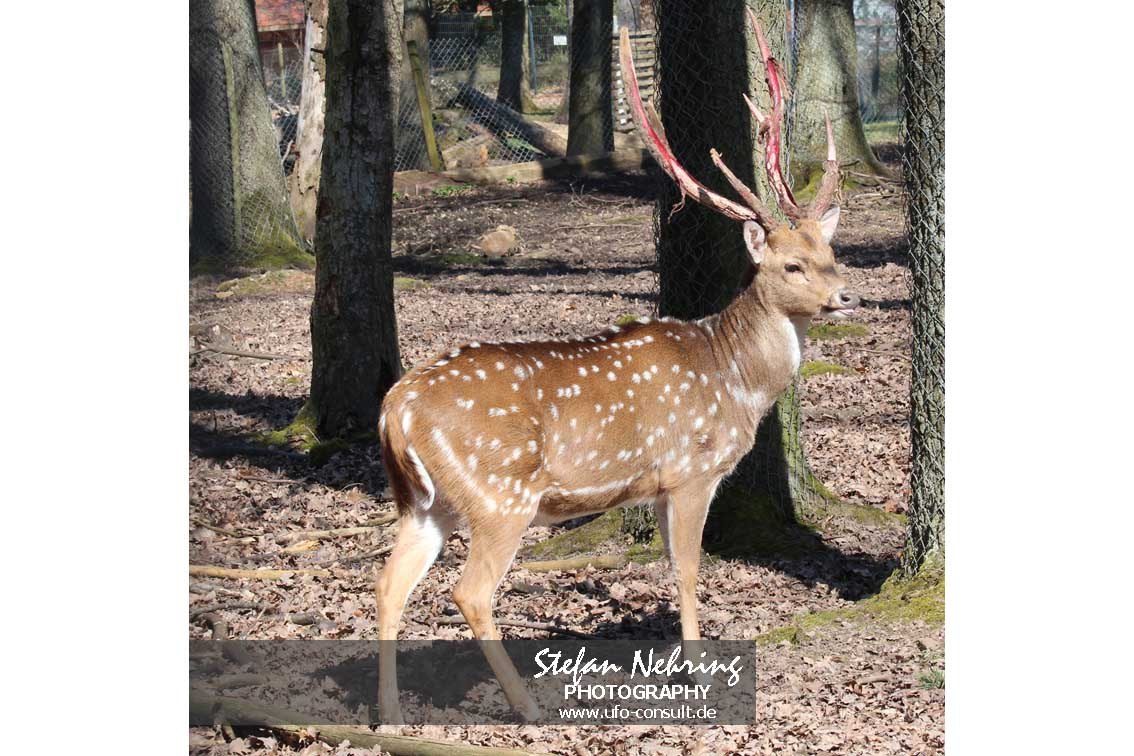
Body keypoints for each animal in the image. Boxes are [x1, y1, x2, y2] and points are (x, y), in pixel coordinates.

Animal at [374, 14, 860, 723]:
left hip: (423, 501)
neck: (736, 379)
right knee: (470, 591)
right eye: (791, 264)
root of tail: (394, 410)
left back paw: (390, 712)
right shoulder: (690, 470)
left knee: (389, 582)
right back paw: (526, 707)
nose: (846, 296)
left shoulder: (655, 485)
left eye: (830, 252)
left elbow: (667, 565)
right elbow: (688, 567)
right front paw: (698, 676)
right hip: (499, 494)